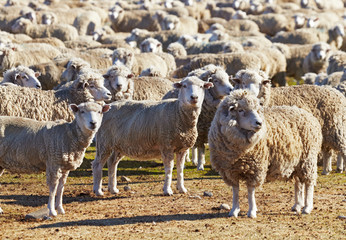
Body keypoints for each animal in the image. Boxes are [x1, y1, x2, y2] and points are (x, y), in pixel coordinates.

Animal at [207, 89, 324, 218]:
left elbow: (250, 190)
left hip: (308, 158)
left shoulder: (255, 167)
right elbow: (235, 190)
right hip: (298, 162)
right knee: (299, 182)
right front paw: (234, 210)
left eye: (257, 110)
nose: (259, 123)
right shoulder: (230, 170)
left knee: (309, 183)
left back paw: (307, 207)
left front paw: (251, 211)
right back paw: (298, 205)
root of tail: (308, 115)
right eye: (240, 110)